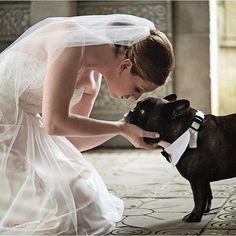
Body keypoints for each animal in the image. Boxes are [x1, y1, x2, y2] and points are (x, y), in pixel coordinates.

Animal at [124, 93, 235, 221]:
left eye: (142, 112)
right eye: (136, 106)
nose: (130, 111)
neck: (187, 131)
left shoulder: (197, 178)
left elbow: (198, 198)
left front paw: (194, 216)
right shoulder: (204, 179)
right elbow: (207, 194)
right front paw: (204, 211)